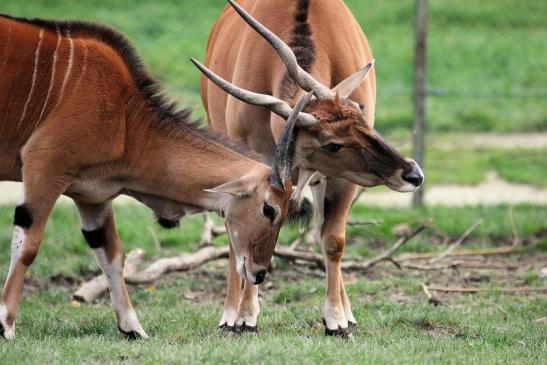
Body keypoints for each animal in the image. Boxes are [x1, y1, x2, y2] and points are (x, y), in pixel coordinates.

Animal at [0, 13, 308, 338]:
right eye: (269, 209)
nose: (260, 273)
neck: (126, 117)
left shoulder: (92, 197)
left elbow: (112, 255)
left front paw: (132, 329)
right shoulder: (44, 167)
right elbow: (27, 246)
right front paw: (6, 325)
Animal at [195, 0, 426, 336]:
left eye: (361, 113)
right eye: (332, 144)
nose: (412, 174)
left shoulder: (343, 181)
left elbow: (333, 240)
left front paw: (337, 319)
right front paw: (245, 316)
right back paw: (229, 313)